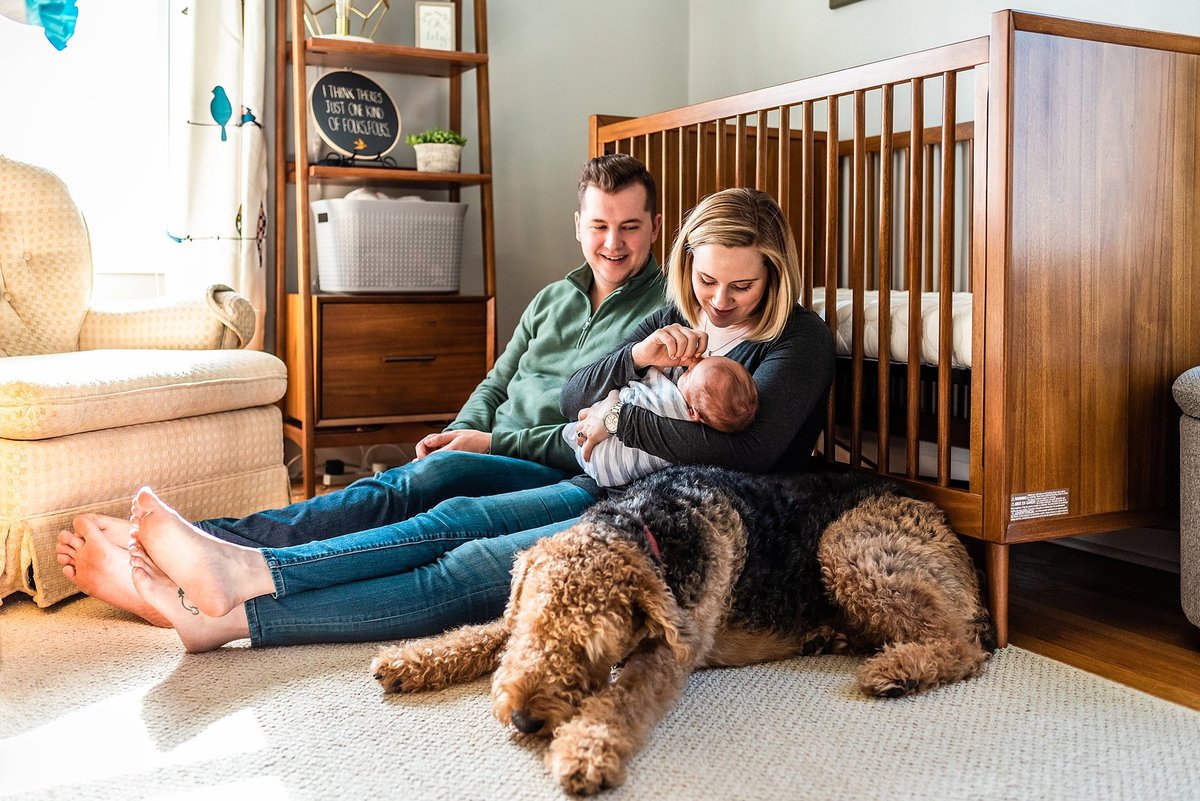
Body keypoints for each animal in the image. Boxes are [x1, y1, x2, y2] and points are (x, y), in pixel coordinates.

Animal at [374, 465, 993, 791]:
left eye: (594, 646)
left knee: (963, 646)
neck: (645, 527)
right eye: (534, 624)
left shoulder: (670, 648)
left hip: (850, 549)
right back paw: (832, 637)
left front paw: (584, 752)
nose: (525, 719)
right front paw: (409, 659)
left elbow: (621, 699)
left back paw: (895, 670)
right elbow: (483, 632)